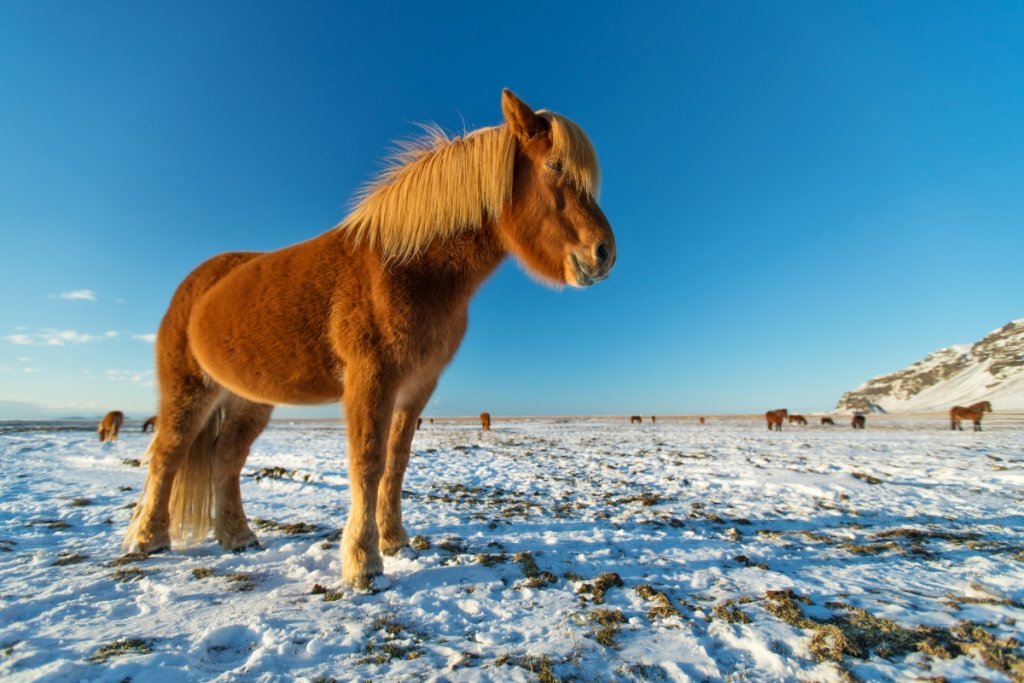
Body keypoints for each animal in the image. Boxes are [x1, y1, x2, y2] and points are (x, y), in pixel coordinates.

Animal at [122, 90, 615, 589]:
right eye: (554, 166)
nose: (604, 254)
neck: (407, 268)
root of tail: (195, 285)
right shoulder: (371, 378)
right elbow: (368, 462)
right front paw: (363, 563)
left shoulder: (417, 387)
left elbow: (397, 462)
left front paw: (395, 541)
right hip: (189, 389)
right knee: (167, 454)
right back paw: (147, 539)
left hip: (248, 400)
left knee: (226, 458)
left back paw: (238, 536)